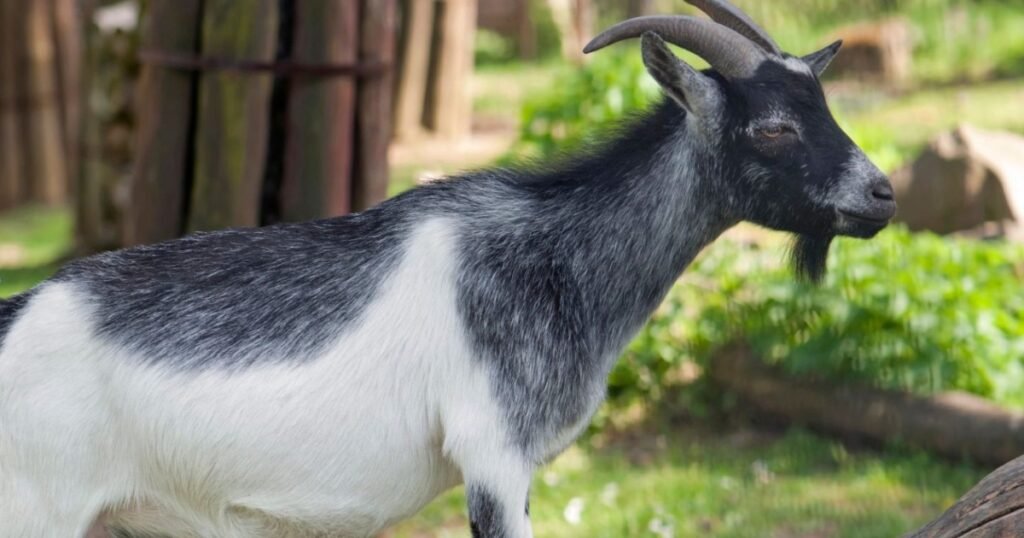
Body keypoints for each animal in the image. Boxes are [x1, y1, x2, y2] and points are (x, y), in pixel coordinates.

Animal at [0, 1, 895, 536]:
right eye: (774, 127)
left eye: (825, 105)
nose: (882, 194)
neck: (552, 252)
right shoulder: (492, 449)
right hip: (37, 508)